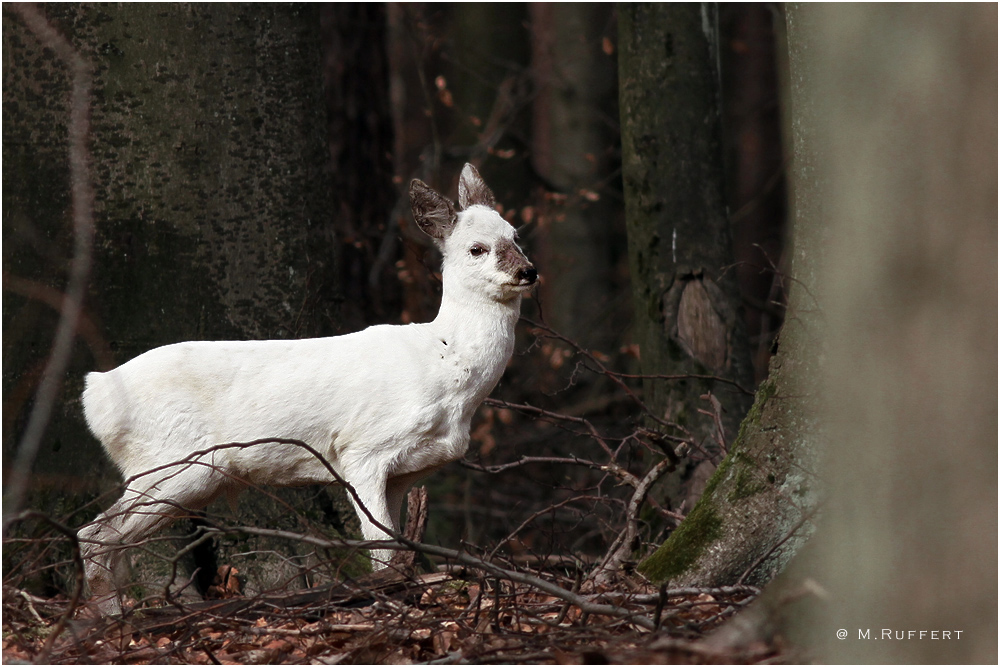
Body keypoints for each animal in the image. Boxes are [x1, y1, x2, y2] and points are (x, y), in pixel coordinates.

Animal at [76, 166, 540, 616]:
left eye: (515, 234)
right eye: (476, 248)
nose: (528, 271)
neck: (446, 361)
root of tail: (94, 393)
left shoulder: (404, 475)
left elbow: (395, 549)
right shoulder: (361, 450)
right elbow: (382, 551)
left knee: (110, 540)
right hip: (172, 461)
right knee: (93, 533)